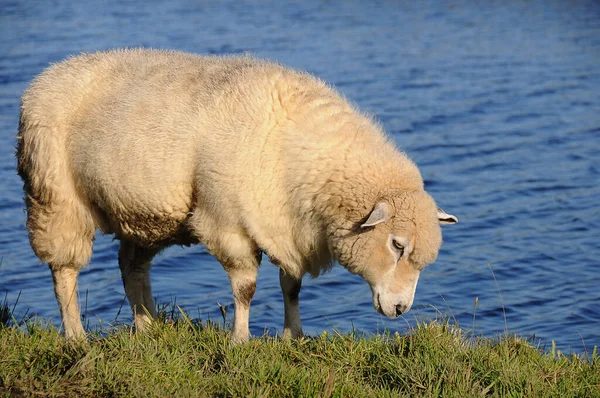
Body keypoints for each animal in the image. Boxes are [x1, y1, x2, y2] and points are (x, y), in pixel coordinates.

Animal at [16, 49, 458, 342]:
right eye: (397, 245)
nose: (401, 310)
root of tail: (51, 72)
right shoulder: (227, 222)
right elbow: (245, 289)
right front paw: (240, 341)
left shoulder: (285, 221)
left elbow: (291, 287)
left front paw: (293, 336)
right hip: (55, 197)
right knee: (64, 271)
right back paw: (76, 337)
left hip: (146, 213)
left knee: (131, 266)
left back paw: (148, 328)